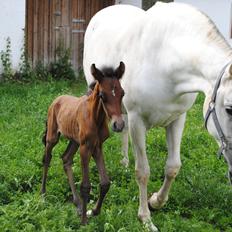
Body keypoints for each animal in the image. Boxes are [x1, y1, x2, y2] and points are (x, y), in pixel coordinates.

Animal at [41, 61, 125, 223]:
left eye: (122, 93)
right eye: (102, 95)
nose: (118, 125)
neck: (96, 117)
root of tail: (56, 99)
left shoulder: (97, 146)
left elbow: (105, 183)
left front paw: (94, 211)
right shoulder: (85, 148)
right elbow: (85, 186)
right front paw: (85, 221)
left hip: (74, 141)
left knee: (66, 159)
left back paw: (78, 204)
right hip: (53, 137)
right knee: (47, 159)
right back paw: (42, 194)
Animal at [83, 1, 232, 230]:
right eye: (229, 109)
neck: (165, 59)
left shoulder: (177, 118)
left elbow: (173, 167)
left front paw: (155, 202)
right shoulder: (138, 120)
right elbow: (143, 171)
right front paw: (145, 218)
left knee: (123, 130)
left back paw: (124, 163)